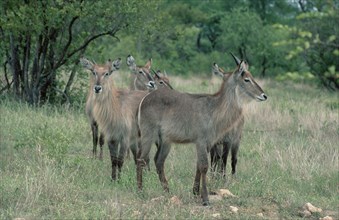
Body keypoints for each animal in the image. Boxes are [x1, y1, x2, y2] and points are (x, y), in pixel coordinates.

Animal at [137, 53, 266, 206]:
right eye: (246, 79)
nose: (264, 95)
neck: (215, 108)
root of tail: (145, 99)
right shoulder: (201, 141)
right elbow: (204, 166)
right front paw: (205, 198)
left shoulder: (209, 143)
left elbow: (199, 166)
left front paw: (195, 192)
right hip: (148, 135)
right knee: (141, 159)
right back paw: (140, 190)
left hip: (166, 141)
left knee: (158, 161)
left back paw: (167, 190)